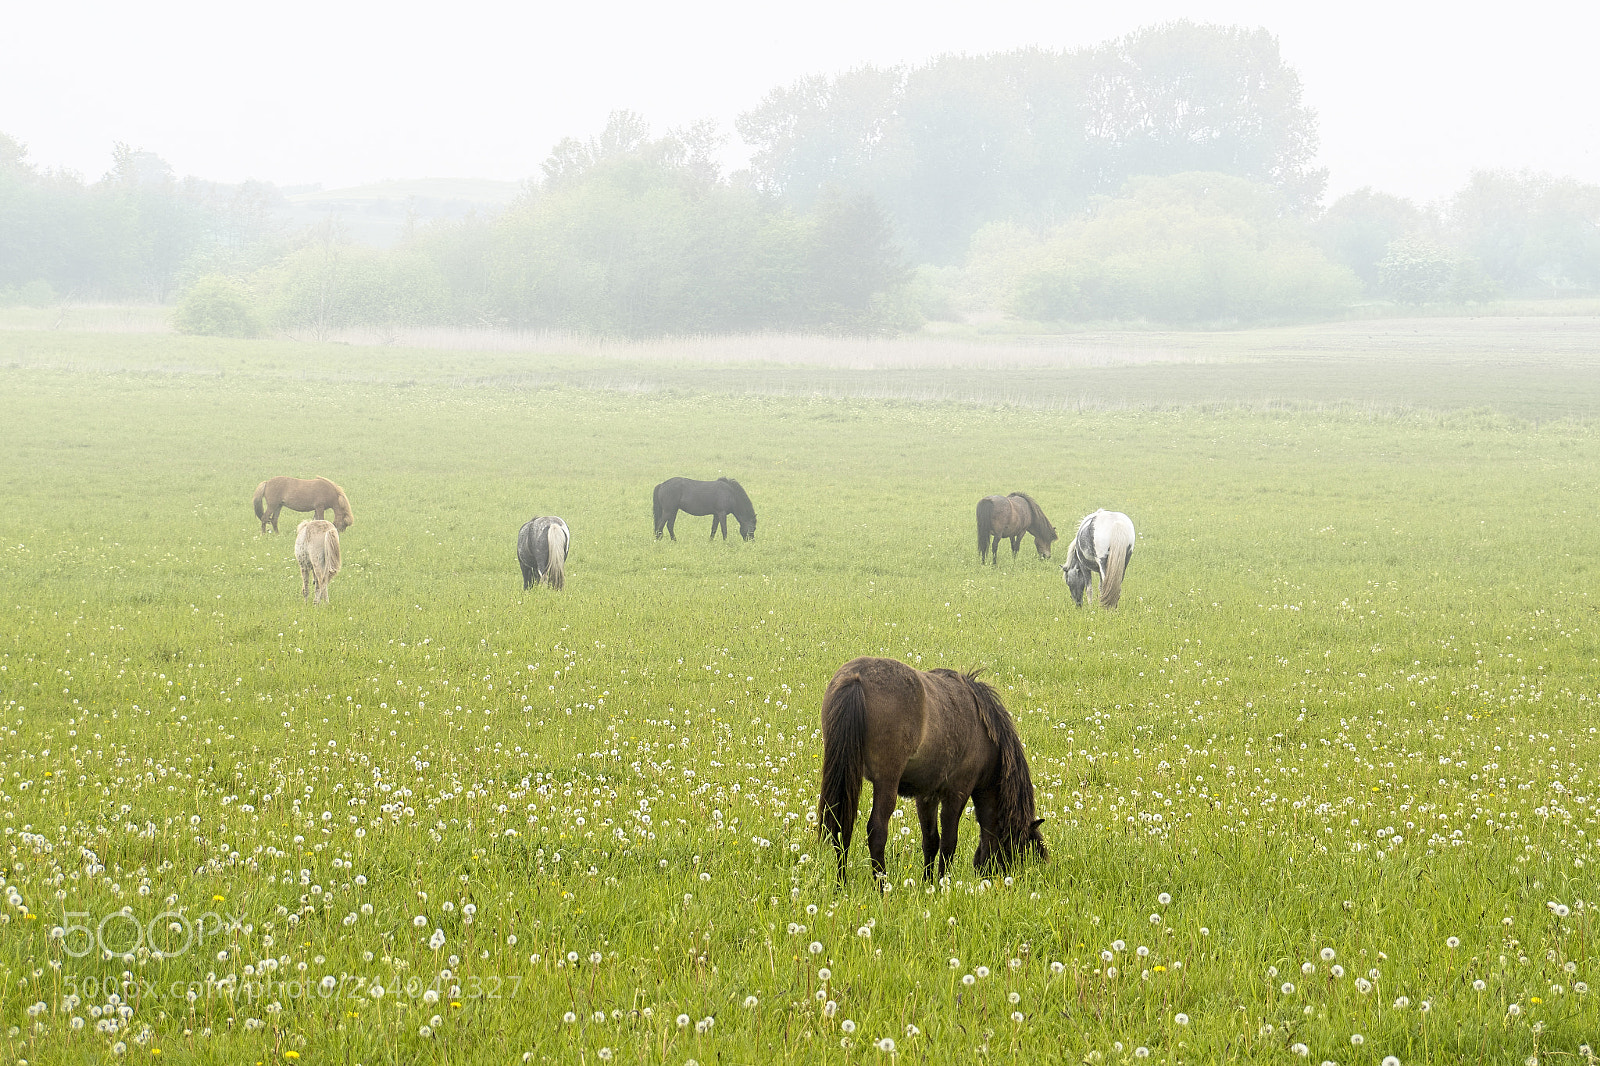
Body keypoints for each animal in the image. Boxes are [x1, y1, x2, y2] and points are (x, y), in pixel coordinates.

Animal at [816, 657, 1046, 886]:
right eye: (1020, 851)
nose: (1003, 881)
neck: (984, 731)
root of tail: (855, 678)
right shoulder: (957, 792)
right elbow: (949, 842)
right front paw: (943, 884)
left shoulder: (926, 795)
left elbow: (931, 841)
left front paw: (928, 883)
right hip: (886, 782)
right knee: (877, 832)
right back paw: (881, 886)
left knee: (842, 828)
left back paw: (841, 884)